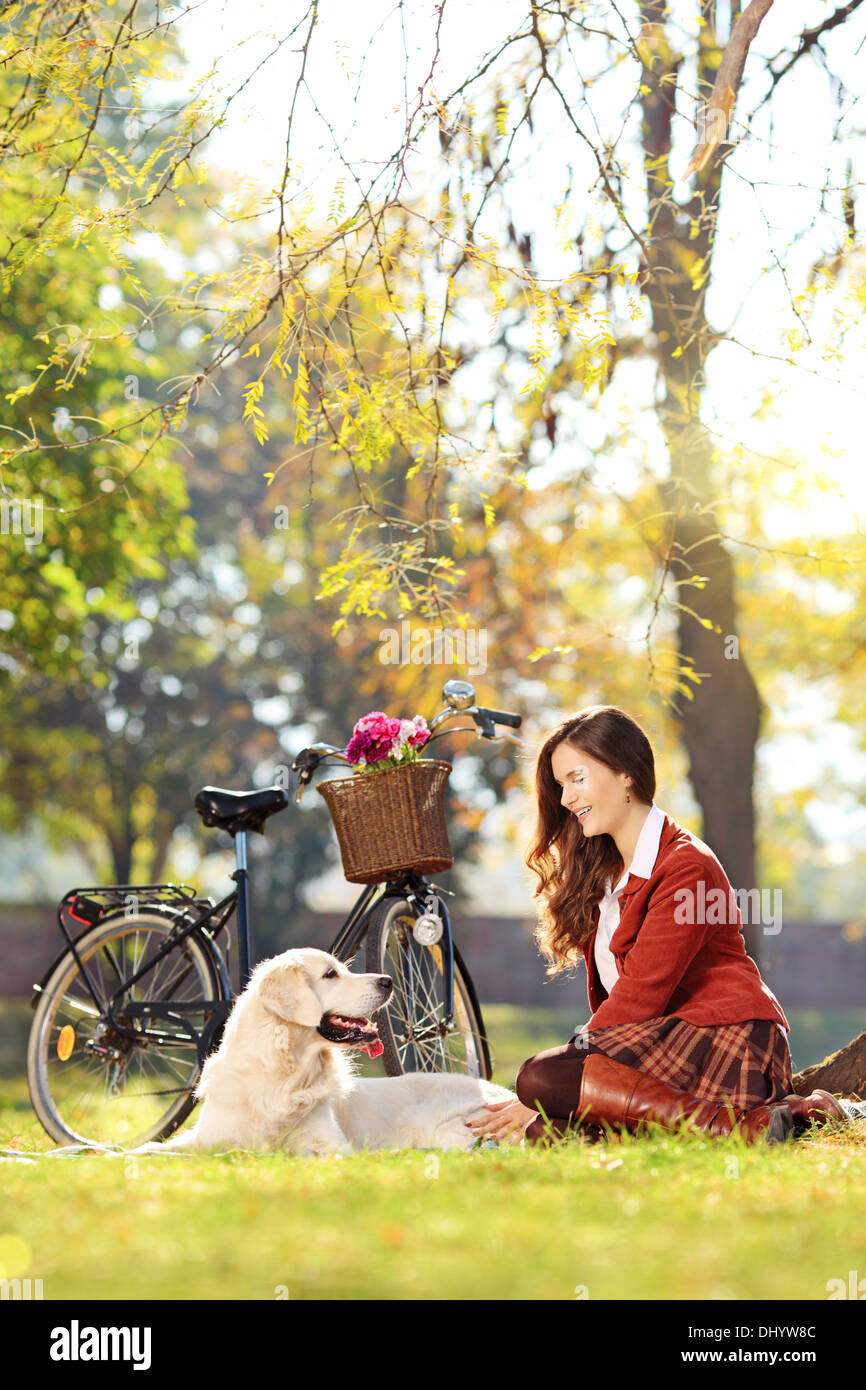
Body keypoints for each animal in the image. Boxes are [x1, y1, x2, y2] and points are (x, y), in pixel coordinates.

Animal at [126, 945, 517, 1162]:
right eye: (331, 974)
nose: (388, 981)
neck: (281, 1077)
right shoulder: (208, 1135)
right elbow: (152, 1149)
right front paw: (118, 1154)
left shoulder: (331, 1147)